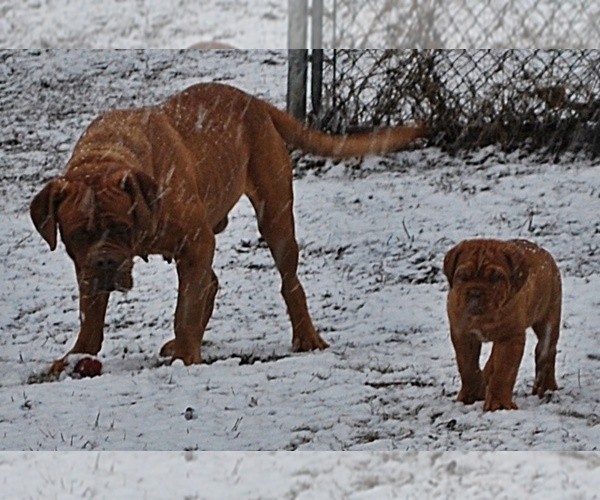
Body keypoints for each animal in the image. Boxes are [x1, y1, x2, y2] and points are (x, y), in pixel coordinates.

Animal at [29, 82, 426, 374]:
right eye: (78, 235)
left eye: (123, 228)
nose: (107, 263)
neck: (108, 156)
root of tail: (254, 101)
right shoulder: (87, 268)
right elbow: (91, 314)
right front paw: (77, 355)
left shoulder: (195, 241)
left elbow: (186, 307)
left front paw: (186, 356)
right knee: (212, 282)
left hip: (275, 218)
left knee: (289, 282)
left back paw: (306, 337)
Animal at [440, 238, 564, 410]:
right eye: (463, 276)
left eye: (495, 277)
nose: (475, 292)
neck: (483, 318)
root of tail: (543, 251)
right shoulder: (462, 334)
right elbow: (467, 367)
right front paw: (470, 395)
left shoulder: (510, 337)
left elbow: (503, 371)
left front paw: (498, 404)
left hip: (549, 316)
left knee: (546, 351)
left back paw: (546, 387)